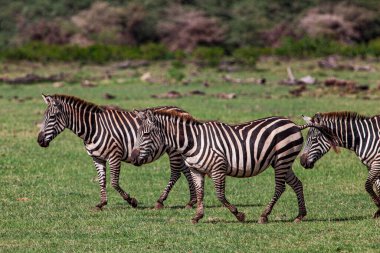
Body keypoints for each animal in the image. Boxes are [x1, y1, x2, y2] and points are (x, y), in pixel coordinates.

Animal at [37, 94, 196, 210]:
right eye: (43, 117)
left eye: (52, 117)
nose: (39, 141)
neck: (93, 129)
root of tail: (183, 111)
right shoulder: (97, 158)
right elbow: (102, 180)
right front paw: (101, 203)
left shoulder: (114, 155)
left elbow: (113, 182)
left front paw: (132, 201)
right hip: (180, 151)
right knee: (187, 171)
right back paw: (191, 202)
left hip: (174, 151)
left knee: (175, 173)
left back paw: (161, 201)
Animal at [131, 108, 336, 223]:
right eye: (139, 133)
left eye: (146, 134)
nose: (132, 157)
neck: (193, 141)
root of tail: (293, 124)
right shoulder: (196, 171)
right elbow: (200, 194)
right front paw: (197, 216)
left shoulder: (218, 168)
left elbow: (220, 195)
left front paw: (239, 215)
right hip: (282, 161)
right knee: (297, 184)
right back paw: (300, 215)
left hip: (282, 159)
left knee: (280, 187)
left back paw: (264, 215)